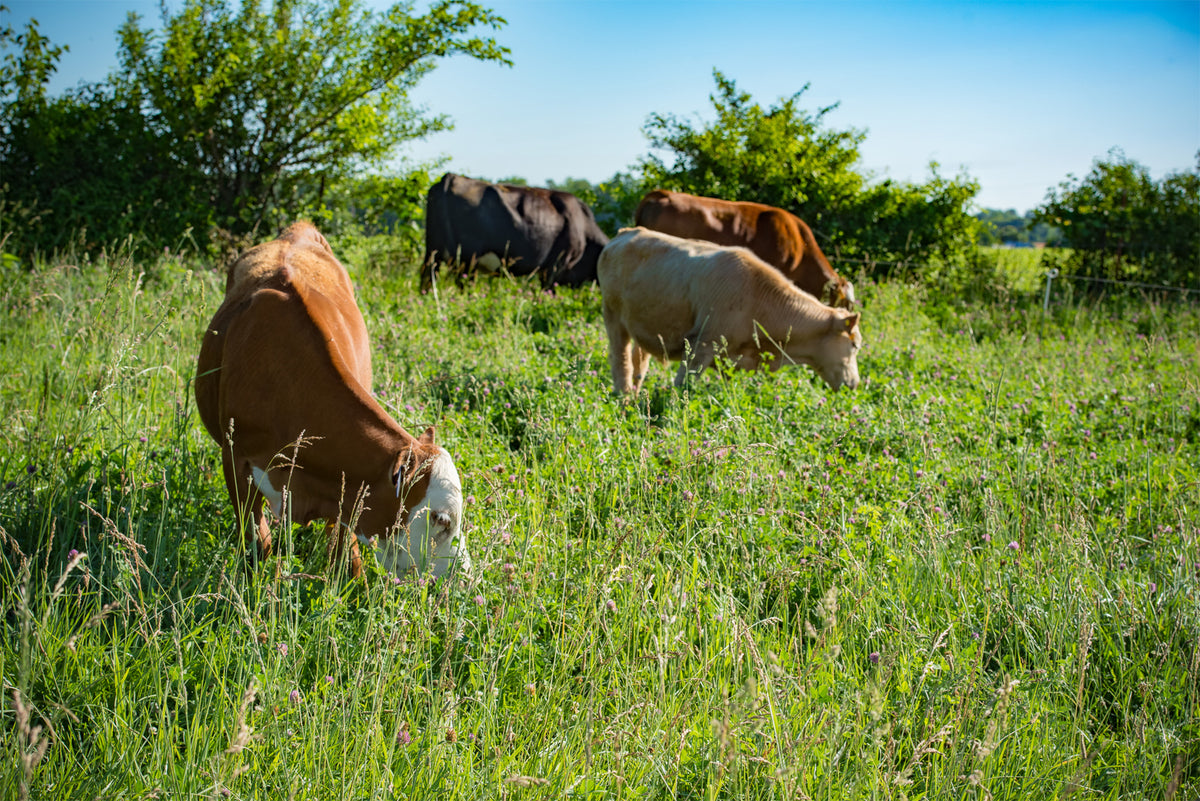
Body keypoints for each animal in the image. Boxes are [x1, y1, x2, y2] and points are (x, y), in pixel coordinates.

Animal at [195, 221, 470, 580]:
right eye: (441, 519)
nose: (465, 574)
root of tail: (298, 229)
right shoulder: (234, 459)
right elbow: (258, 542)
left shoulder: (346, 490)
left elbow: (346, 559)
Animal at [597, 227, 861, 394]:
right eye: (855, 345)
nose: (855, 384)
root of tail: (626, 232)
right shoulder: (700, 345)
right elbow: (682, 389)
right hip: (613, 318)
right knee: (621, 363)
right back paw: (624, 401)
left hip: (641, 325)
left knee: (638, 364)